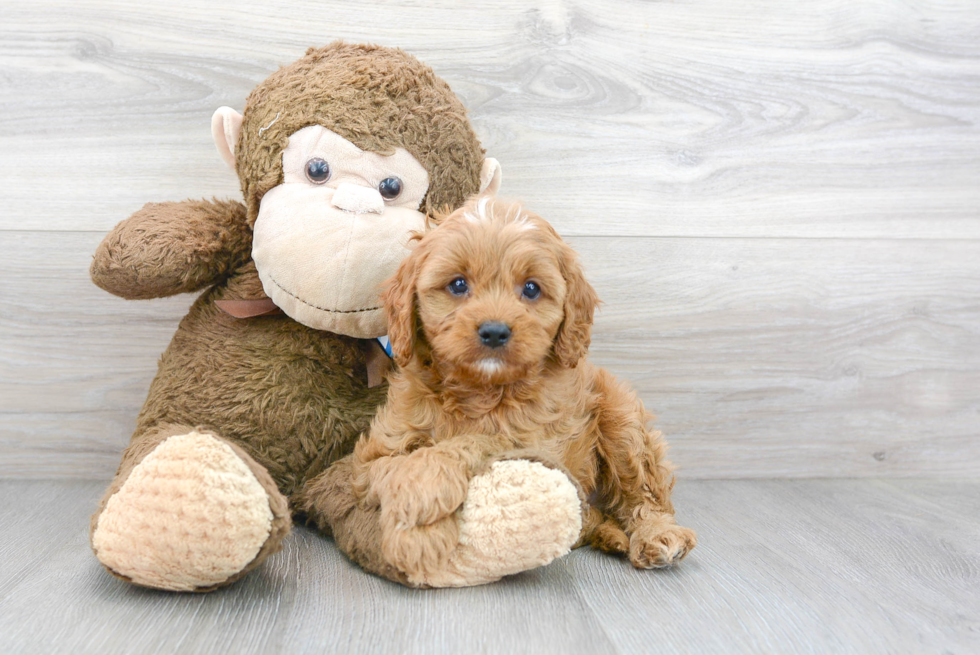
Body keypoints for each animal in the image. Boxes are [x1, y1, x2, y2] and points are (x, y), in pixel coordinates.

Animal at [348, 196, 692, 584]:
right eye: (457, 285)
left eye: (530, 288)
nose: (495, 331)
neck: (481, 390)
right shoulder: (371, 459)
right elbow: (396, 467)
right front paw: (420, 523)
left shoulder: (535, 444)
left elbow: (475, 441)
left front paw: (423, 516)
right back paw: (609, 534)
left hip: (621, 416)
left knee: (644, 489)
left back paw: (657, 534)